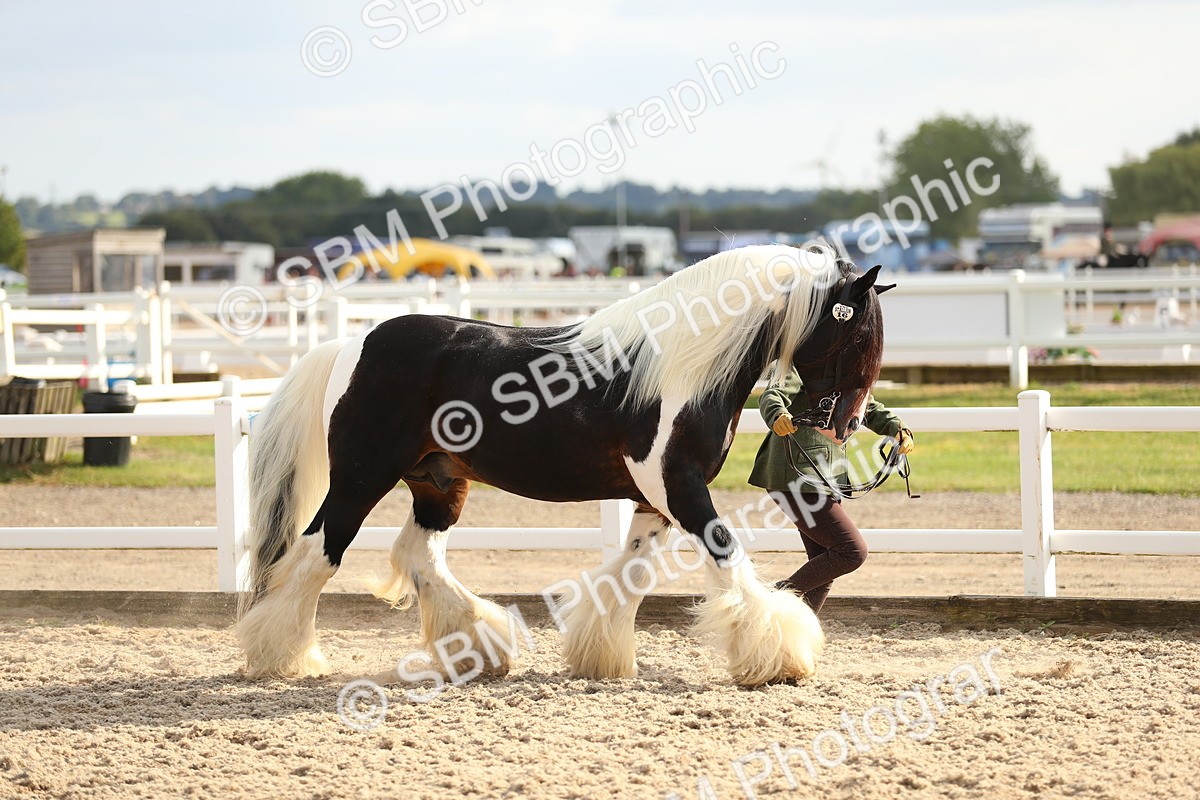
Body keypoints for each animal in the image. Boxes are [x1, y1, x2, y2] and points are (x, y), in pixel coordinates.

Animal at [235, 244, 890, 687]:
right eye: (859, 333)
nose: (848, 422)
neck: (681, 366)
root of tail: (349, 346)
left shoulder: (654, 499)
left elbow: (631, 572)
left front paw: (600, 656)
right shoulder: (681, 489)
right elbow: (729, 560)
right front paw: (778, 656)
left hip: (438, 483)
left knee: (419, 556)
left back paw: (479, 648)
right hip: (360, 479)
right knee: (316, 554)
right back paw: (282, 656)